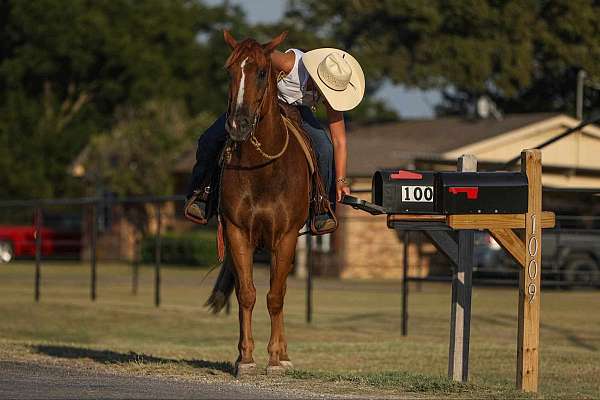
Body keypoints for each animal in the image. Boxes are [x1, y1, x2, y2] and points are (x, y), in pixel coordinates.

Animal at [205, 32, 310, 378]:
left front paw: (275, 358)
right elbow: (247, 294)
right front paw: (246, 358)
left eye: (262, 72)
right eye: (229, 72)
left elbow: (275, 296)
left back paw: (284, 355)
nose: (238, 124)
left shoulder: (286, 237)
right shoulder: (237, 232)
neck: (264, 170)